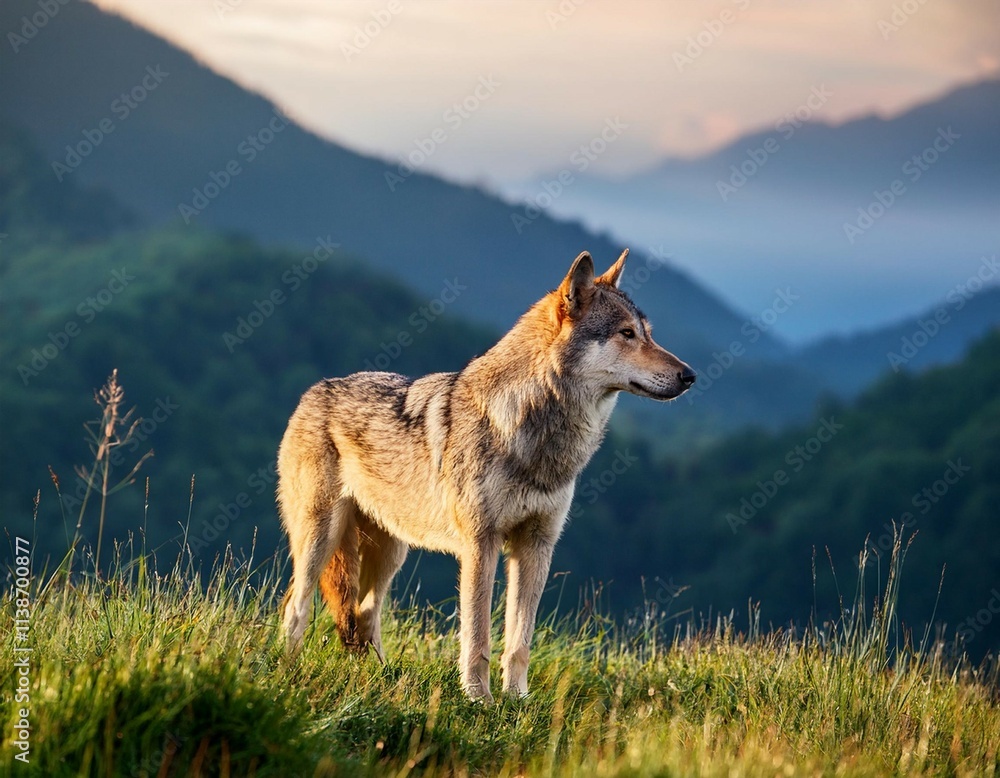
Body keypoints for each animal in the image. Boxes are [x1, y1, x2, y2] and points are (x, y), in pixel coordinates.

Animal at [278, 250, 695, 701]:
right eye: (626, 334)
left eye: (648, 334)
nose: (690, 375)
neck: (534, 434)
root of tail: (314, 390)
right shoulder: (481, 544)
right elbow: (478, 636)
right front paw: (478, 699)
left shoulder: (536, 546)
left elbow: (519, 641)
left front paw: (517, 699)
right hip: (322, 537)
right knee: (296, 604)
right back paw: (288, 670)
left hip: (392, 553)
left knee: (364, 615)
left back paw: (384, 679)